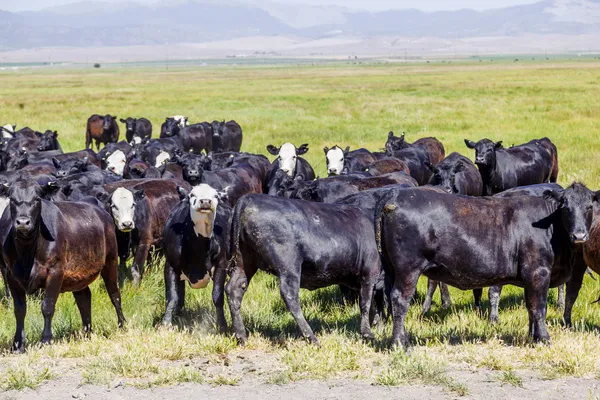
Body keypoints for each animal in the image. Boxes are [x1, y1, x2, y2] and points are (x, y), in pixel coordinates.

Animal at [0, 180, 125, 352]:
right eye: (12, 199)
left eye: (37, 199)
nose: (23, 222)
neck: (27, 252)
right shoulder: (11, 274)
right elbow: (19, 309)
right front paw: (18, 344)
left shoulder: (55, 271)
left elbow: (47, 306)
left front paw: (46, 340)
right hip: (79, 274)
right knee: (84, 297)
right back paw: (86, 332)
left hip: (111, 261)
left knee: (114, 294)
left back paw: (122, 326)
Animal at [161, 184, 231, 332]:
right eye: (192, 195)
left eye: (215, 196)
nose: (205, 201)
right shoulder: (170, 265)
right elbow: (172, 296)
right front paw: (166, 323)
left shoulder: (221, 265)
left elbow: (218, 296)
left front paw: (222, 325)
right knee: (180, 297)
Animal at [227, 195, 382, 346]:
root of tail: (248, 198)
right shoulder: (369, 272)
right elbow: (366, 302)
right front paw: (367, 333)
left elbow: (372, 302)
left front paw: (375, 322)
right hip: (289, 266)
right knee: (290, 296)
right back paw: (312, 337)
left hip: (245, 261)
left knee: (234, 289)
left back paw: (241, 336)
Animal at [378, 183, 596, 348]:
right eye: (566, 208)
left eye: (589, 207)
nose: (579, 235)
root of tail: (394, 198)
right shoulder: (538, 272)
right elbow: (539, 308)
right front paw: (543, 339)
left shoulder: (530, 277)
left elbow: (531, 308)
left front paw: (532, 337)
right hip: (408, 269)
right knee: (400, 300)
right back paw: (400, 344)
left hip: (393, 269)